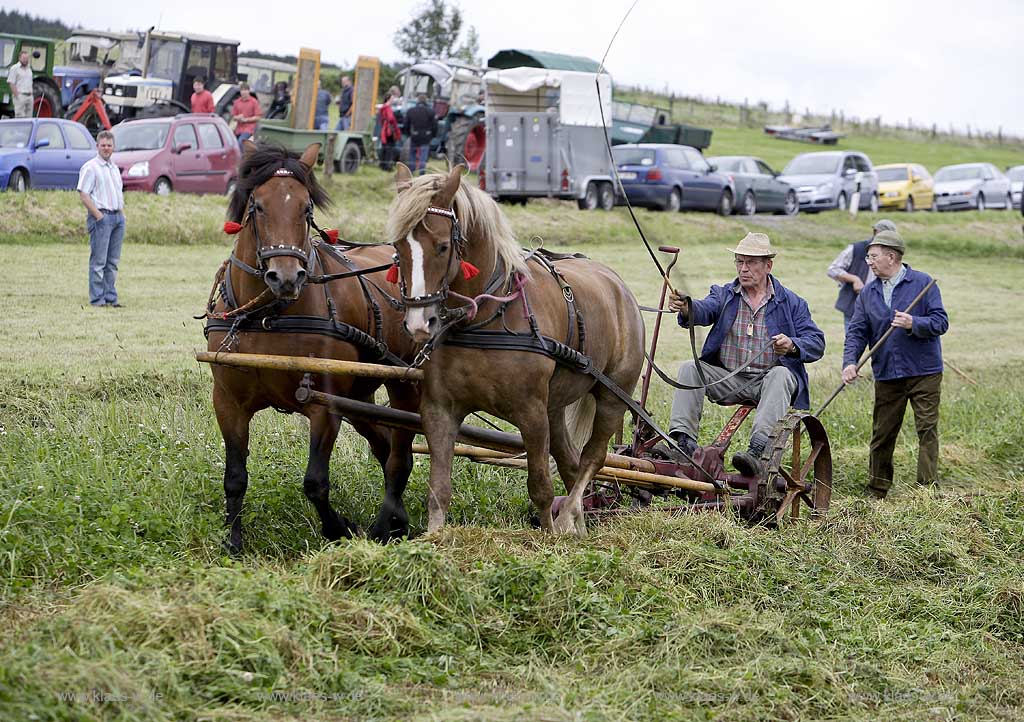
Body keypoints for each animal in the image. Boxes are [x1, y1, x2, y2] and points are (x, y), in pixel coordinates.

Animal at [205, 145, 417, 553]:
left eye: (306, 209)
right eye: (257, 206)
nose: (286, 277)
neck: (267, 315)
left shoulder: (326, 405)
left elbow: (315, 482)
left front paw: (339, 528)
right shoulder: (228, 401)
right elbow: (235, 476)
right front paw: (234, 541)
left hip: (404, 382)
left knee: (401, 454)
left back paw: (387, 523)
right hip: (361, 395)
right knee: (385, 447)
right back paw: (397, 520)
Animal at [387, 164, 643, 536]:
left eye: (442, 246)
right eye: (398, 246)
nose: (420, 323)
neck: (485, 317)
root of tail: (617, 285)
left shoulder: (531, 412)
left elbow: (540, 486)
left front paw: (549, 536)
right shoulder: (439, 410)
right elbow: (439, 488)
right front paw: (434, 538)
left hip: (612, 396)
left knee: (592, 459)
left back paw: (567, 517)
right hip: (555, 406)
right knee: (570, 462)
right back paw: (579, 527)